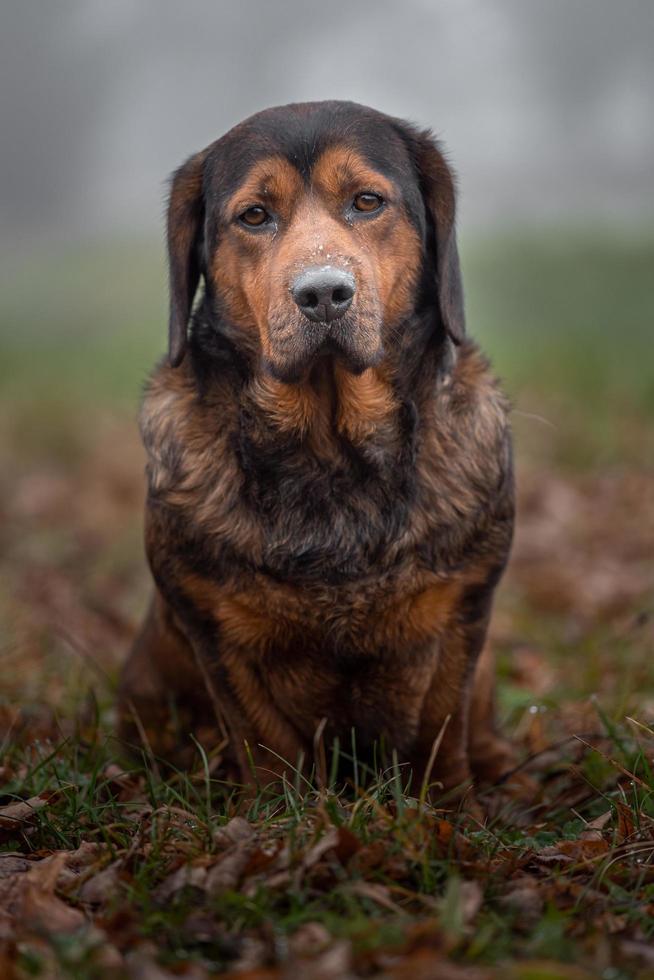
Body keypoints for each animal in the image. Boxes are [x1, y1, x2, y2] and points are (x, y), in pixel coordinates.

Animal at [119, 101, 516, 804]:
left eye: (367, 201)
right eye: (255, 215)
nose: (323, 293)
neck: (333, 451)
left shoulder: (461, 612)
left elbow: (440, 728)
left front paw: (445, 812)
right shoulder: (216, 632)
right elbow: (266, 740)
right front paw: (284, 815)